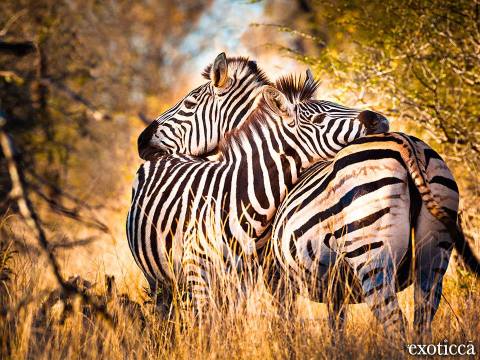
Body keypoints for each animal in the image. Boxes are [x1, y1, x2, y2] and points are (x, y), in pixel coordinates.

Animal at [126, 79, 386, 316]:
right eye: (318, 120)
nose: (380, 120)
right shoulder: (202, 274)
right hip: (157, 278)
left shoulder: (246, 280)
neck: (238, 198)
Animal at [266, 132, 480, 338]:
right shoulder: (335, 289)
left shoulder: (277, 278)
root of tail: (407, 144)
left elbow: (287, 323)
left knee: (394, 322)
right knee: (423, 317)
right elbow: (336, 326)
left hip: (371, 251)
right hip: (434, 248)